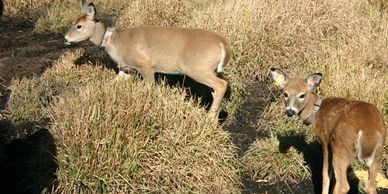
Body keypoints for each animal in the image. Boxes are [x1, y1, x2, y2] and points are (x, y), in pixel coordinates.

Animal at [65, 0, 232, 119]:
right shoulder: (126, 69)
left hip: (197, 68)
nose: (66, 39)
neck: (114, 41)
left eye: (79, 26)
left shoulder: (145, 65)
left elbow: (150, 89)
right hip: (208, 70)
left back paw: (209, 118)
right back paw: (215, 118)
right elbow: (111, 83)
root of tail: (223, 44)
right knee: (215, 90)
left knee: (222, 85)